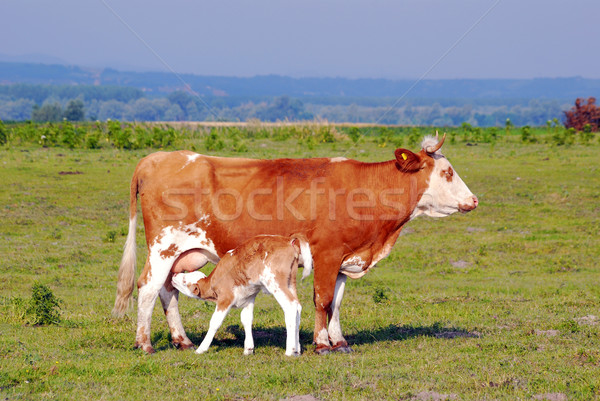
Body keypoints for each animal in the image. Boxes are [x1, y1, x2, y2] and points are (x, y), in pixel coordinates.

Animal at [171, 233, 312, 354]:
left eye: (184, 281)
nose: (174, 275)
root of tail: (287, 240)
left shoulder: (225, 298)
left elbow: (215, 322)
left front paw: (201, 349)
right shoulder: (249, 298)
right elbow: (246, 319)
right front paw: (248, 349)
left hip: (276, 282)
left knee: (291, 307)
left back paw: (290, 351)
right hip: (290, 283)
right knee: (298, 307)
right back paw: (298, 349)